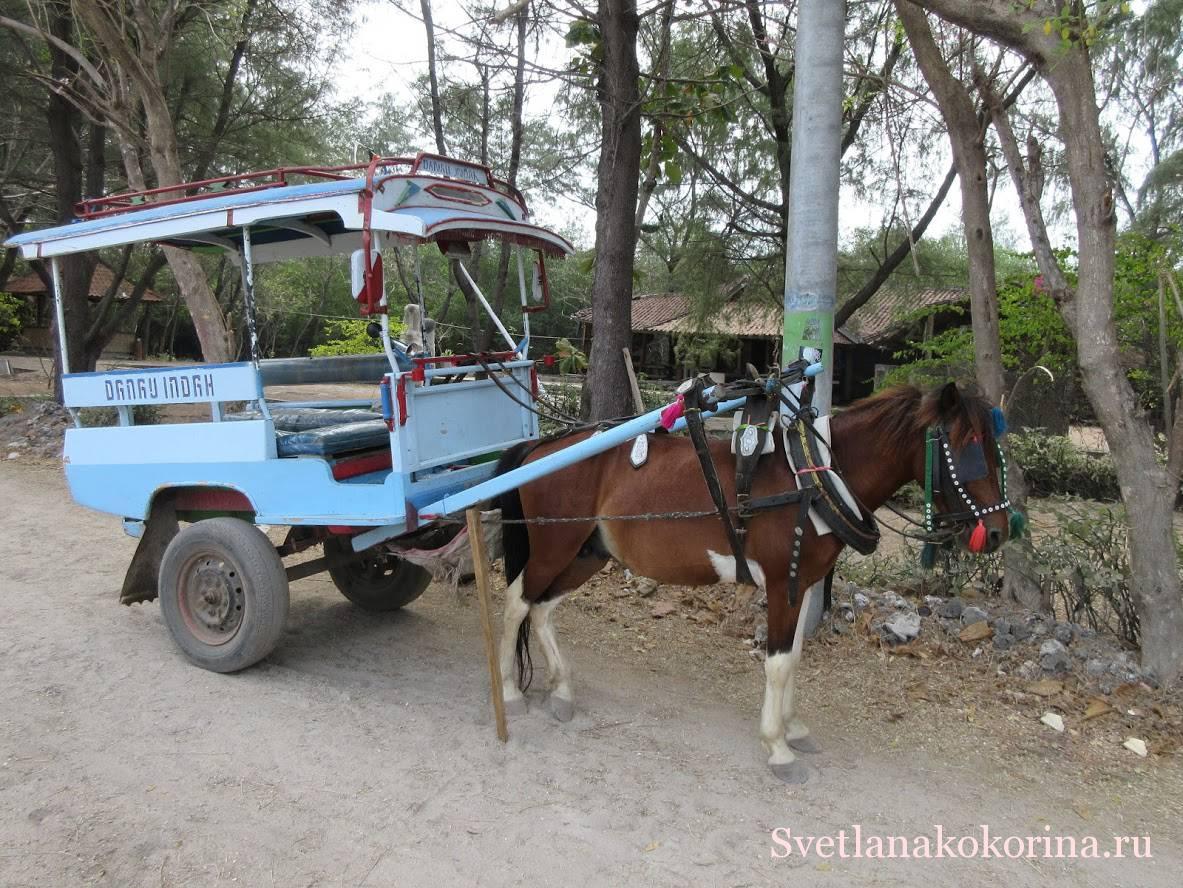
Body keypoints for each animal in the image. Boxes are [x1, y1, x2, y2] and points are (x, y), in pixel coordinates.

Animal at [489, 378, 1007, 780]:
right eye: (968, 451)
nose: (1002, 531)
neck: (813, 478)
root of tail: (543, 446)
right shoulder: (781, 583)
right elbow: (776, 663)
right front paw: (777, 747)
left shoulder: (804, 582)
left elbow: (794, 657)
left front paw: (793, 728)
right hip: (554, 546)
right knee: (516, 603)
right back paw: (510, 692)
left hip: (586, 553)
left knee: (541, 608)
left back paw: (561, 690)